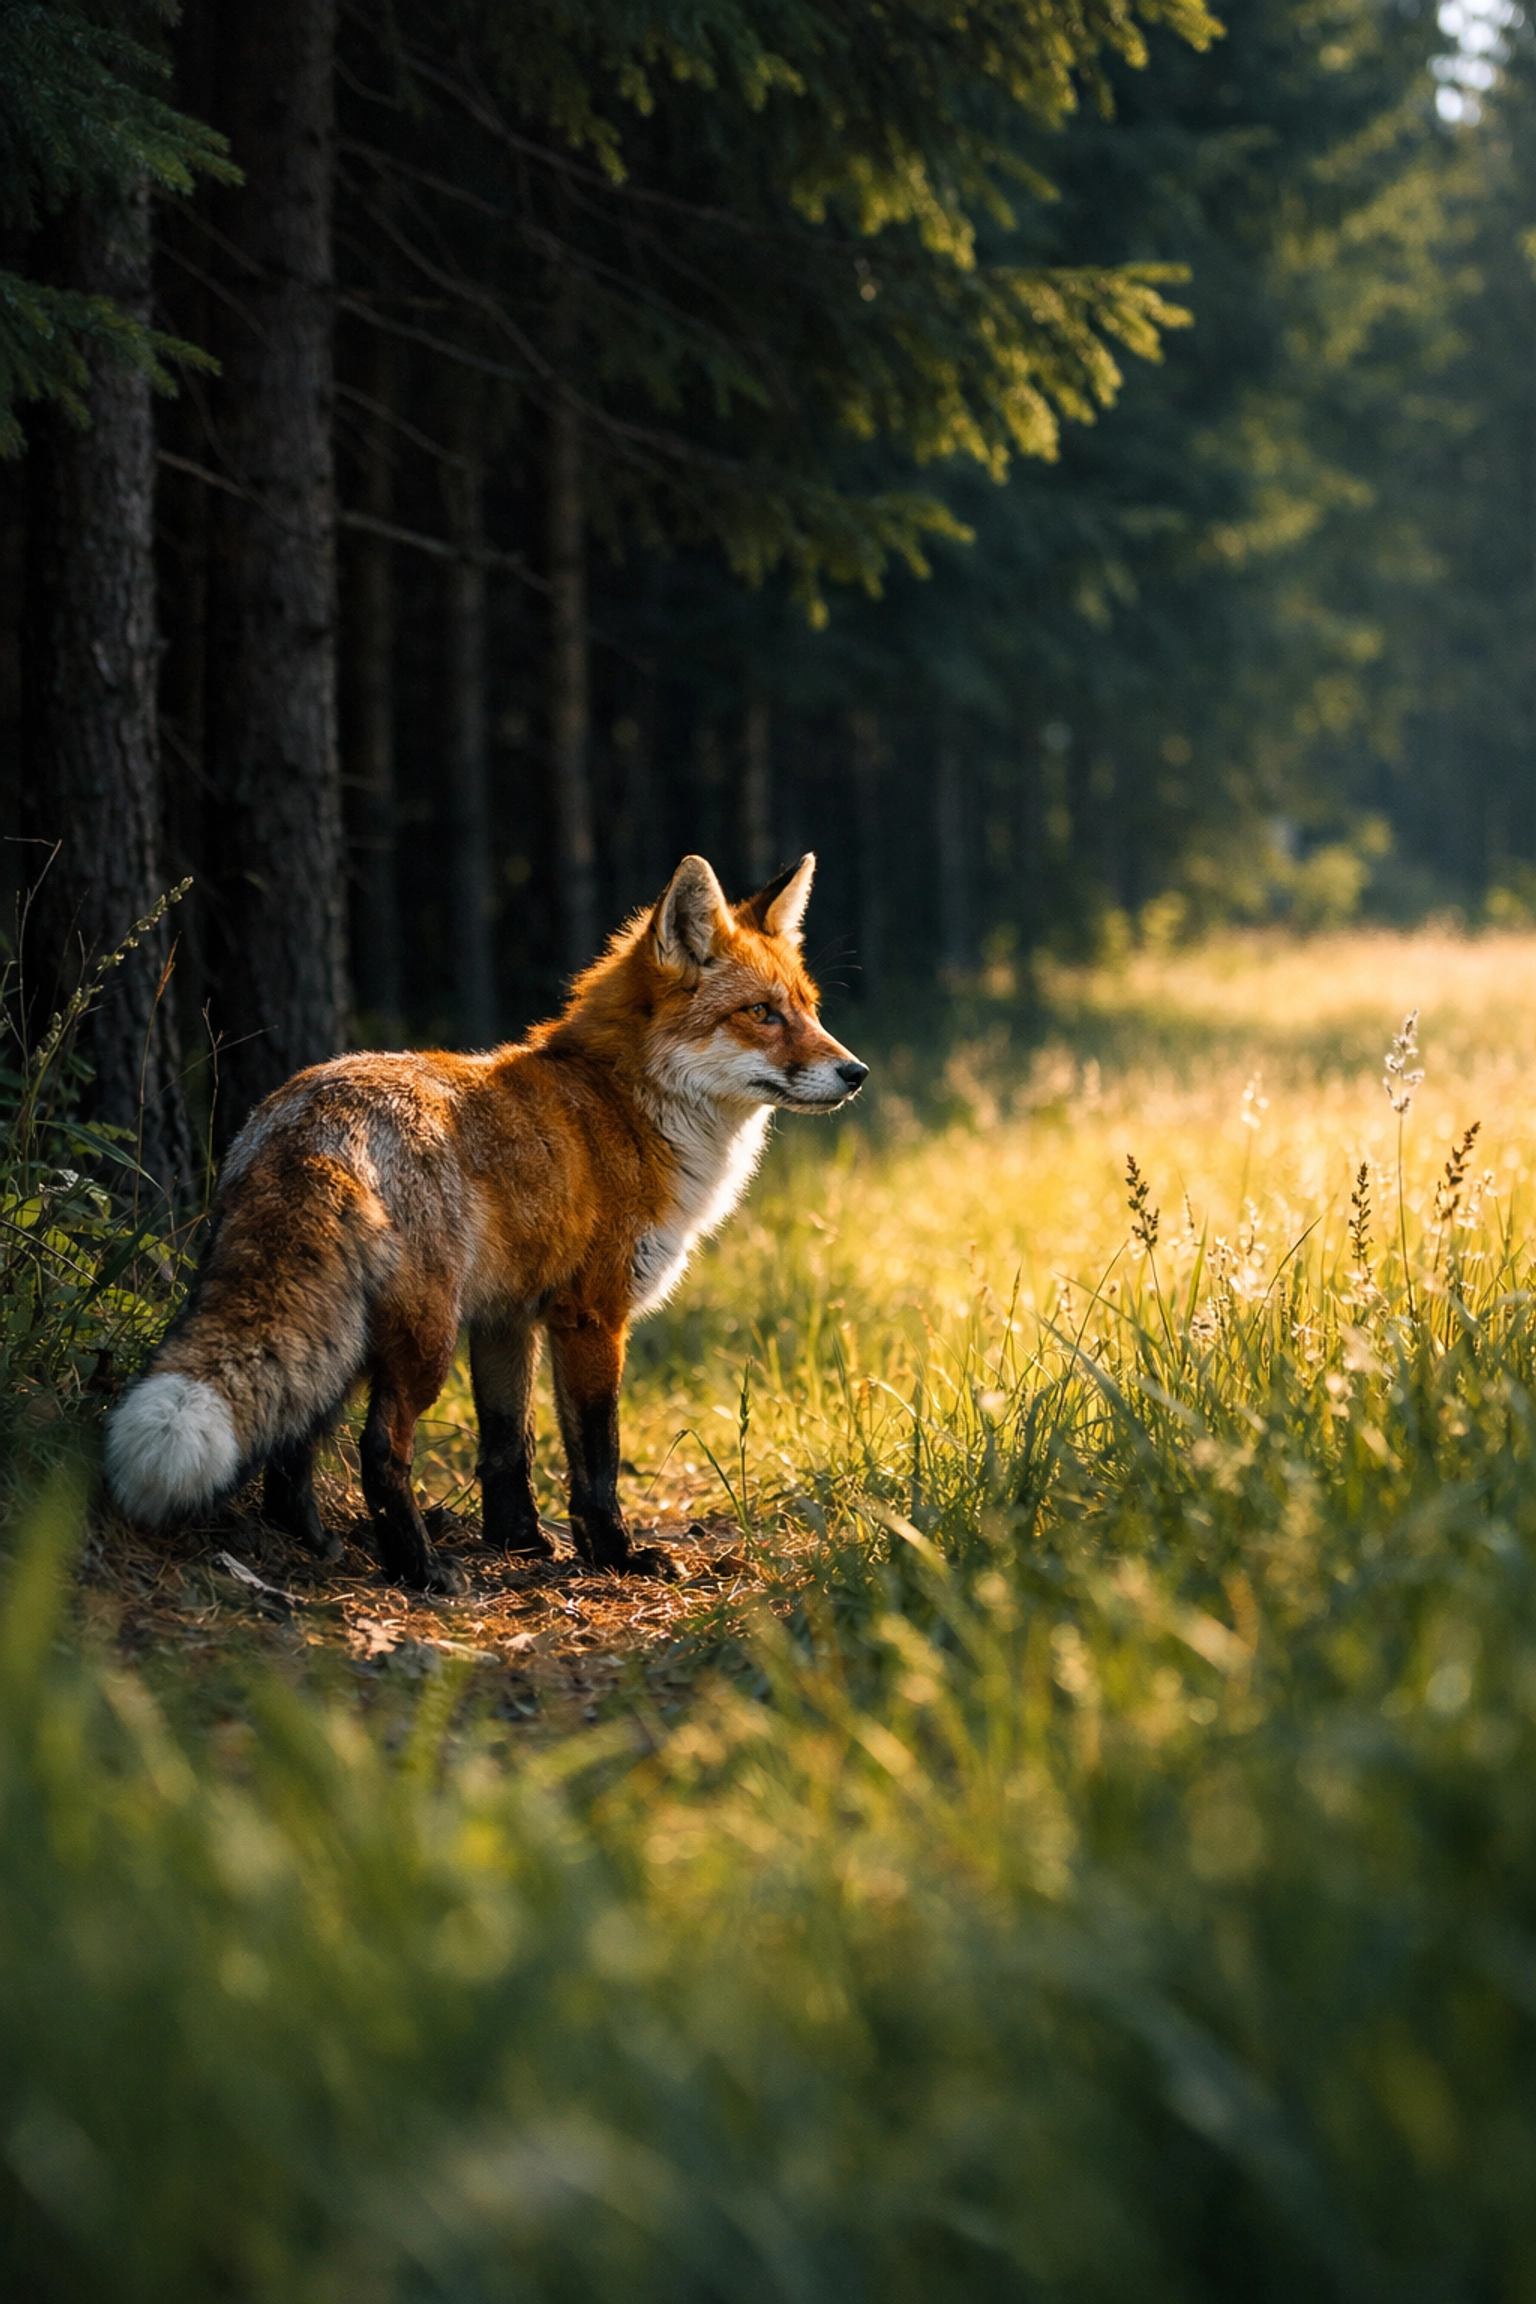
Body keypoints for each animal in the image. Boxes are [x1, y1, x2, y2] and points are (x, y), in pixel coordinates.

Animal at [104, 853, 867, 1592]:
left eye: (809, 1009)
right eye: (762, 1013)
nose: (854, 1071)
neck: (629, 1106)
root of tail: (306, 1117)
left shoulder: (505, 1316)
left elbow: (507, 1445)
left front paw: (519, 1541)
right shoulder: (590, 1315)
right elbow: (597, 1456)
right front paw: (616, 1555)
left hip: (348, 1333)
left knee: (297, 1437)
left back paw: (312, 1541)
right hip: (425, 1339)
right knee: (380, 1448)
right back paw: (418, 1569)